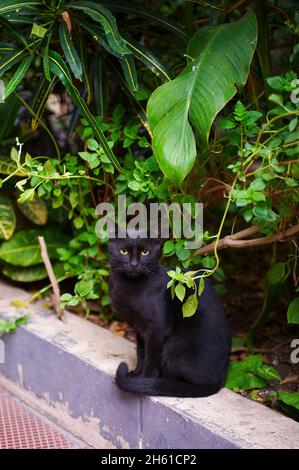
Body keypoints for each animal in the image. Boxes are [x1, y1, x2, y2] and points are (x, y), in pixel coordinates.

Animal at [109, 229, 232, 396]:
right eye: (124, 251)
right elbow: (141, 352)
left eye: (145, 252)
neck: (128, 285)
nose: (134, 264)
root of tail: (219, 382)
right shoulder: (139, 328)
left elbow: (151, 358)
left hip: (174, 344)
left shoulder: (157, 330)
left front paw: (144, 379)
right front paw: (136, 373)